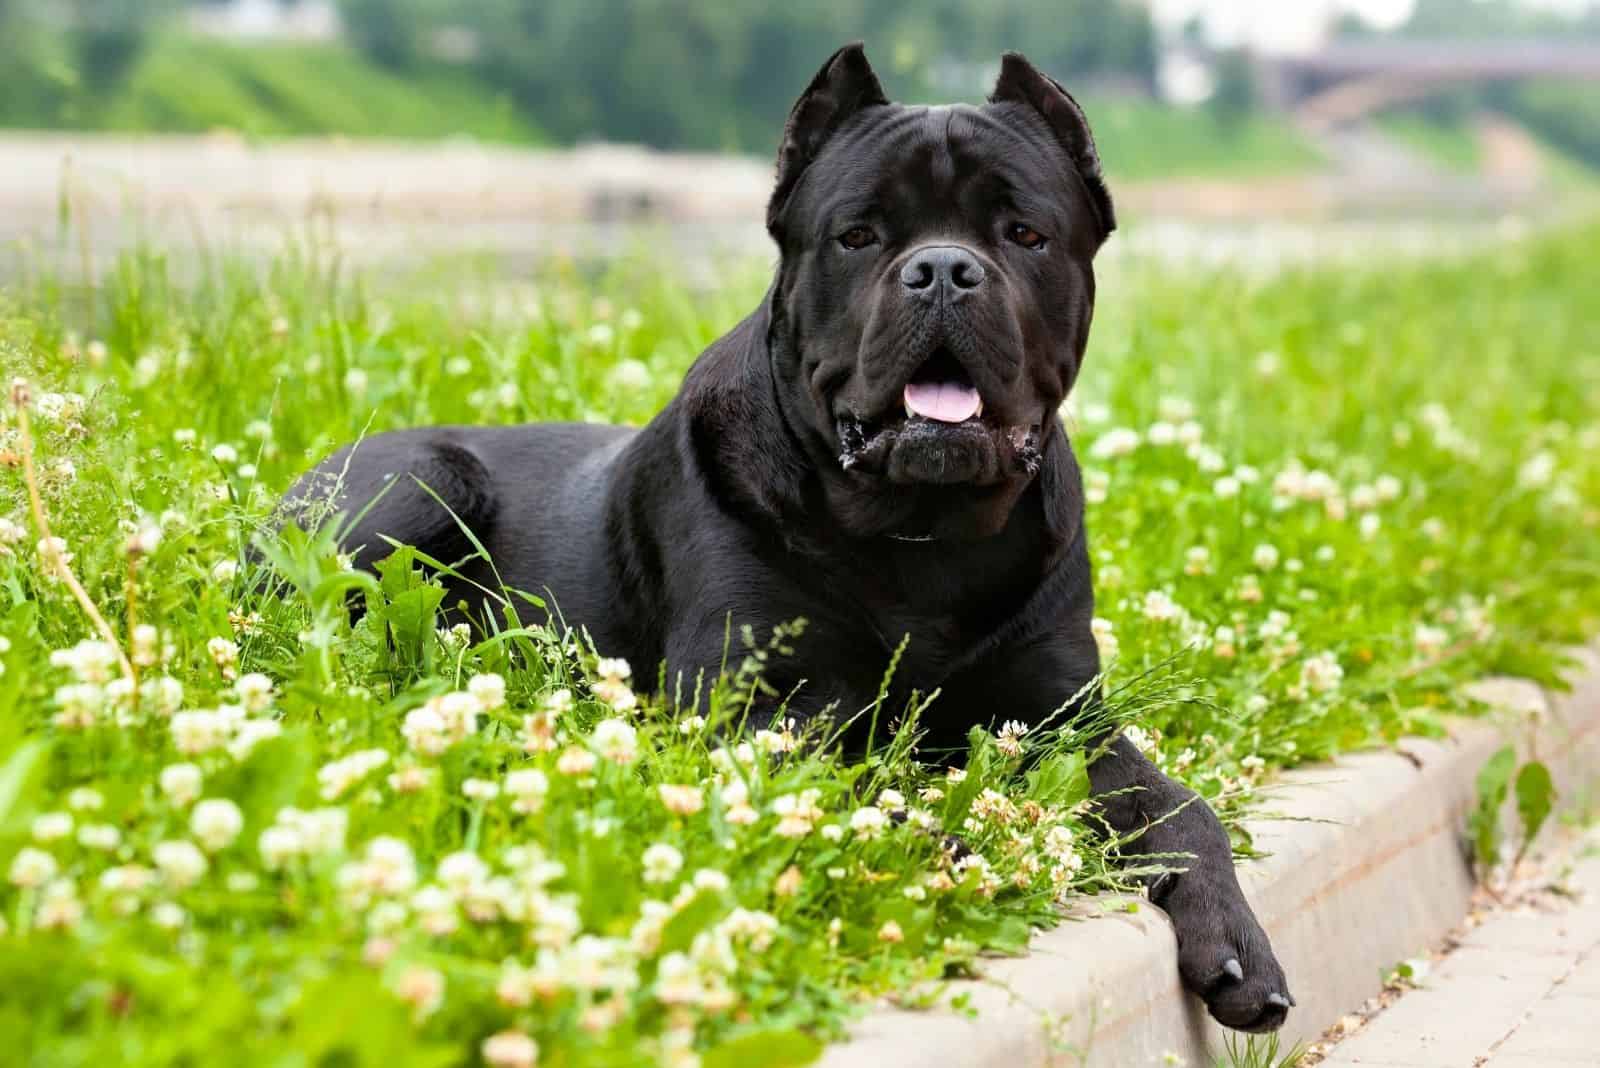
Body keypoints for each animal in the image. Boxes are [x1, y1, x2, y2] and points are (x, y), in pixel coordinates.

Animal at [284, 43, 1286, 1036]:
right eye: (859, 236)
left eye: (1024, 233)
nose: (944, 269)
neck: (922, 532)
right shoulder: (753, 708)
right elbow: (862, 794)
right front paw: (958, 848)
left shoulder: (1063, 715)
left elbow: (1180, 806)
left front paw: (1238, 941)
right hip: (418, 485)